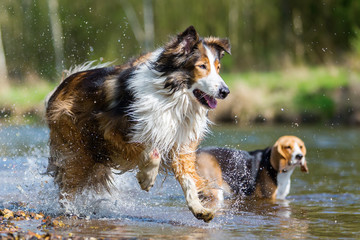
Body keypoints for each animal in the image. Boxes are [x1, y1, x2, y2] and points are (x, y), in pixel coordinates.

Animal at [45, 25, 231, 221]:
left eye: (218, 68)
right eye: (202, 66)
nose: (225, 91)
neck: (172, 96)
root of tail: (60, 86)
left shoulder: (180, 142)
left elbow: (187, 179)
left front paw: (198, 208)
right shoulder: (111, 129)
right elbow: (151, 152)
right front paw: (146, 178)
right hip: (78, 150)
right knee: (69, 184)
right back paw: (69, 210)